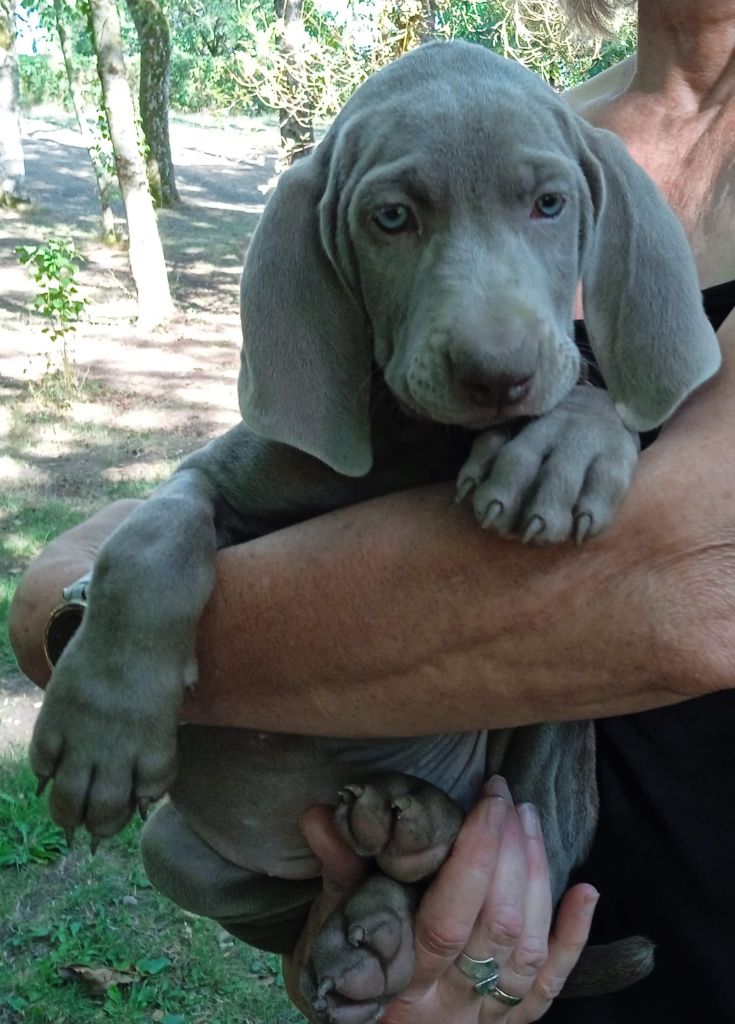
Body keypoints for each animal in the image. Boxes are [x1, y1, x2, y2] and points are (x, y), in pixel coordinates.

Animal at [30, 41, 720, 1024]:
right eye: (391, 218)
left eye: (549, 205)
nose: (497, 376)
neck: (415, 441)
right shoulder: (221, 478)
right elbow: (149, 538)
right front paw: (102, 727)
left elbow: (589, 394)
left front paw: (562, 445)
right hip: (178, 853)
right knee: (299, 903)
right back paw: (366, 917)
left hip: (560, 746)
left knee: (525, 837)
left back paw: (410, 845)